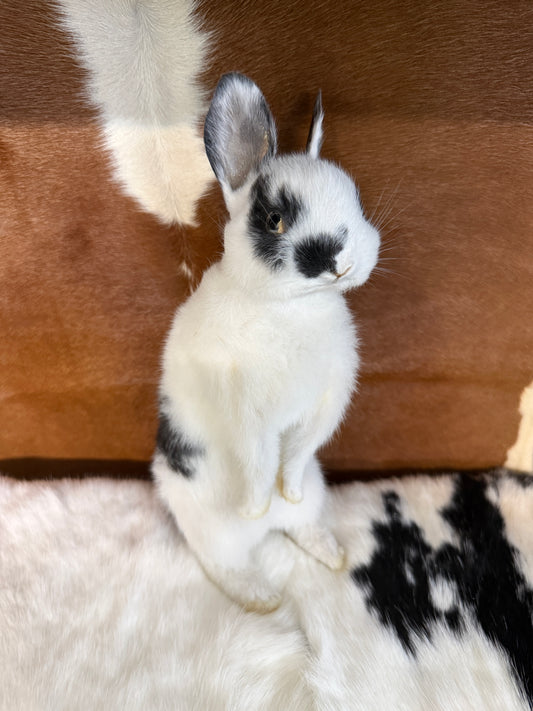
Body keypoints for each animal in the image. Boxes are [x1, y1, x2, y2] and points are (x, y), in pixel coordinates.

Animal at [151, 72, 380, 612]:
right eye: (275, 219)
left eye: (357, 201)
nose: (339, 260)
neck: (294, 308)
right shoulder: (247, 411)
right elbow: (257, 459)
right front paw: (255, 504)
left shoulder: (326, 401)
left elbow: (295, 455)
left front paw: (285, 491)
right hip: (208, 524)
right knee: (223, 563)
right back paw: (261, 593)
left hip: (317, 491)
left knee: (299, 522)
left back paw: (327, 549)